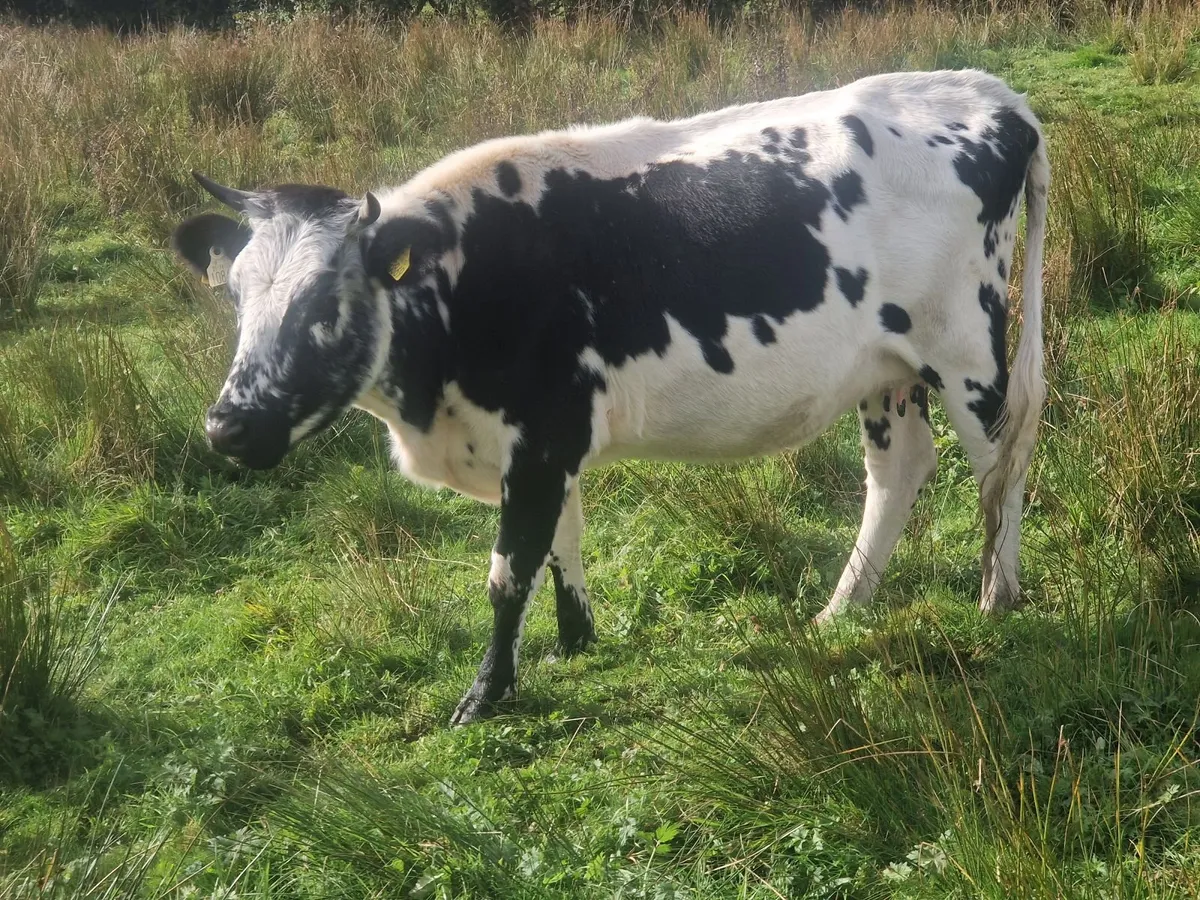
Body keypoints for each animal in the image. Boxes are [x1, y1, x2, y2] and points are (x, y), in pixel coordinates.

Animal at [171, 69, 1049, 726]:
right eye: (237, 296)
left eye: (325, 302)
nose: (228, 425)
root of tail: (985, 90)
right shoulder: (545, 445)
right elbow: (562, 541)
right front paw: (575, 641)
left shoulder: (541, 432)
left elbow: (507, 571)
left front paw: (486, 695)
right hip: (886, 372)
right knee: (899, 471)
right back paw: (843, 608)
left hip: (966, 352)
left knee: (1000, 466)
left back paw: (996, 599)